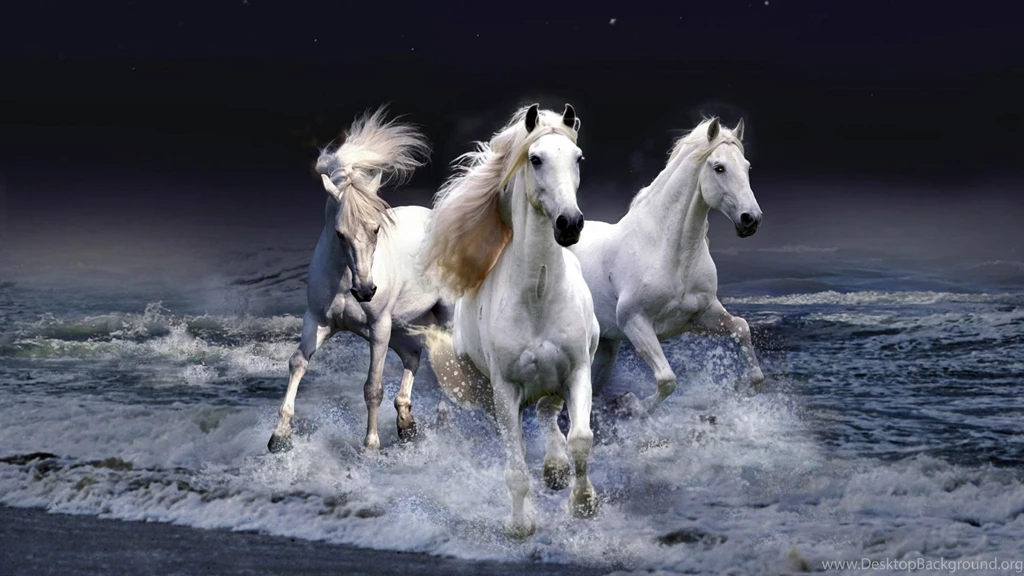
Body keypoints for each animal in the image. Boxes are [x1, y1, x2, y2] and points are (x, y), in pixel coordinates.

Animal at [267, 107, 454, 453]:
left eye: (376, 228)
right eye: (340, 233)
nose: (366, 291)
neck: (344, 280)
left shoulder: (378, 328)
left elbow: (373, 387)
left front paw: (370, 446)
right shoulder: (318, 321)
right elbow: (297, 363)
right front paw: (279, 436)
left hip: (440, 316)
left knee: (447, 362)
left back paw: (443, 420)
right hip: (403, 325)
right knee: (413, 356)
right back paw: (406, 423)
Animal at [416, 104, 600, 539]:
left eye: (578, 158)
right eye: (535, 159)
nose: (570, 224)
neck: (538, 296)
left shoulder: (577, 370)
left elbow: (580, 439)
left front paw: (584, 503)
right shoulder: (505, 390)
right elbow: (515, 468)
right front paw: (520, 525)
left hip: (555, 380)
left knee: (549, 414)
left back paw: (556, 470)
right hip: (487, 391)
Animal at [569, 117, 765, 415]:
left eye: (746, 166)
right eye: (719, 167)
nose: (751, 219)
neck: (670, 254)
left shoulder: (700, 317)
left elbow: (742, 328)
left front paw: (744, 386)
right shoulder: (635, 322)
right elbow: (667, 380)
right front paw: (631, 404)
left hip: (606, 346)